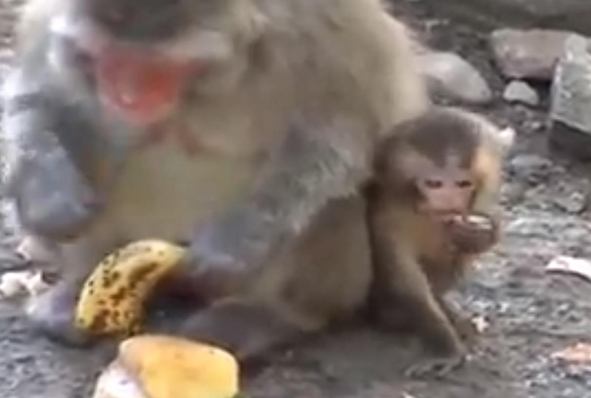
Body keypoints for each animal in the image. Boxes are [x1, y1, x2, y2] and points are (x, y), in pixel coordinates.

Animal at [0, 0, 428, 358]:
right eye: (109, 58)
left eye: (157, 68)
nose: (127, 98)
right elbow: (39, 94)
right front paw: (49, 199)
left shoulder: (326, 32)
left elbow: (343, 136)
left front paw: (233, 245)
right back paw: (76, 287)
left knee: (333, 202)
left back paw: (275, 315)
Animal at [368, 106, 516, 380]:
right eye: (434, 184)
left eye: (463, 184)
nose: (448, 203)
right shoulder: (386, 216)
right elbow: (404, 279)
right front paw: (444, 345)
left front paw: (478, 235)